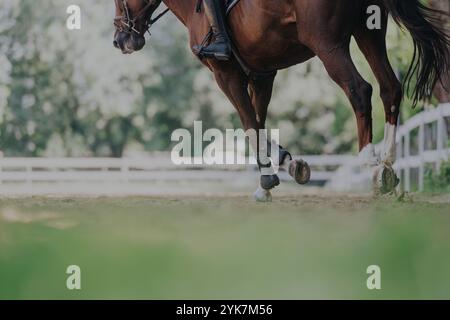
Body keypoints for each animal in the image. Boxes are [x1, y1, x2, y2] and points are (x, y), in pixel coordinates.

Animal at [111, 0, 446, 200]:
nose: (120, 41)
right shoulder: (262, 74)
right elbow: (260, 123)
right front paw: (284, 167)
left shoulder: (225, 74)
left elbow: (248, 123)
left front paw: (269, 178)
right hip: (368, 31)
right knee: (390, 88)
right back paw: (387, 165)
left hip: (328, 44)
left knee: (359, 90)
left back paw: (371, 164)